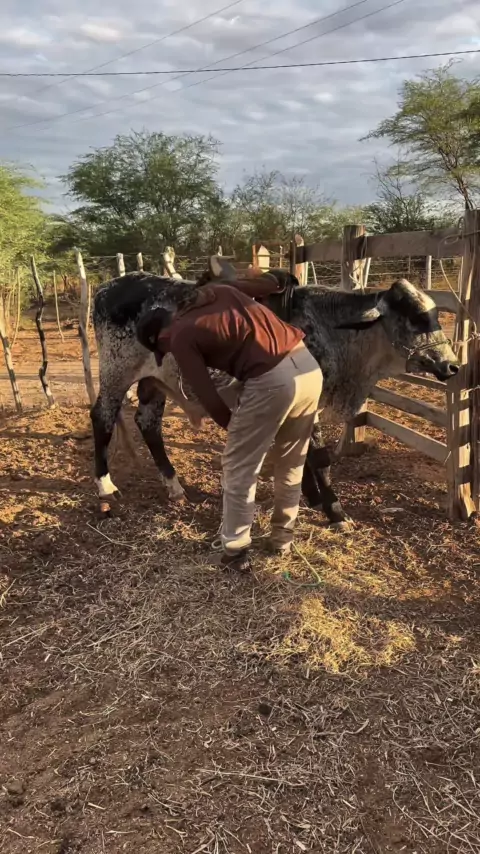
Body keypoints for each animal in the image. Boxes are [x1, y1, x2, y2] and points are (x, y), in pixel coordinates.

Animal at [90, 267, 458, 528]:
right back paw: (106, 488)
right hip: (115, 374)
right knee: (103, 418)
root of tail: (108, 287)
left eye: (435, 316)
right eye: (416, 318)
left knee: (148, 424)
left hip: (154, 382)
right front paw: (335, 511)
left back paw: (174, 486)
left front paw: (313, 499)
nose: (451, 365)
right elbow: (318, 458)